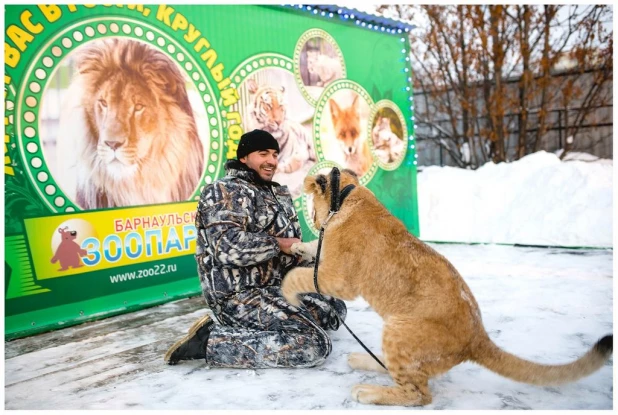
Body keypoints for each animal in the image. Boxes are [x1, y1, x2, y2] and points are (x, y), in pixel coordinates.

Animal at [282, 169, 612, 406]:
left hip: (399, 330)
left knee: (419, 394)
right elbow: (311, 253)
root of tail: (479, 338)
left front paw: (287, 290)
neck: (348, 196)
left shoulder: (341, 279)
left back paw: (367, 391)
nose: (312, 219)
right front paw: (298, 246)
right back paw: (362, 360)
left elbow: (299, 275)